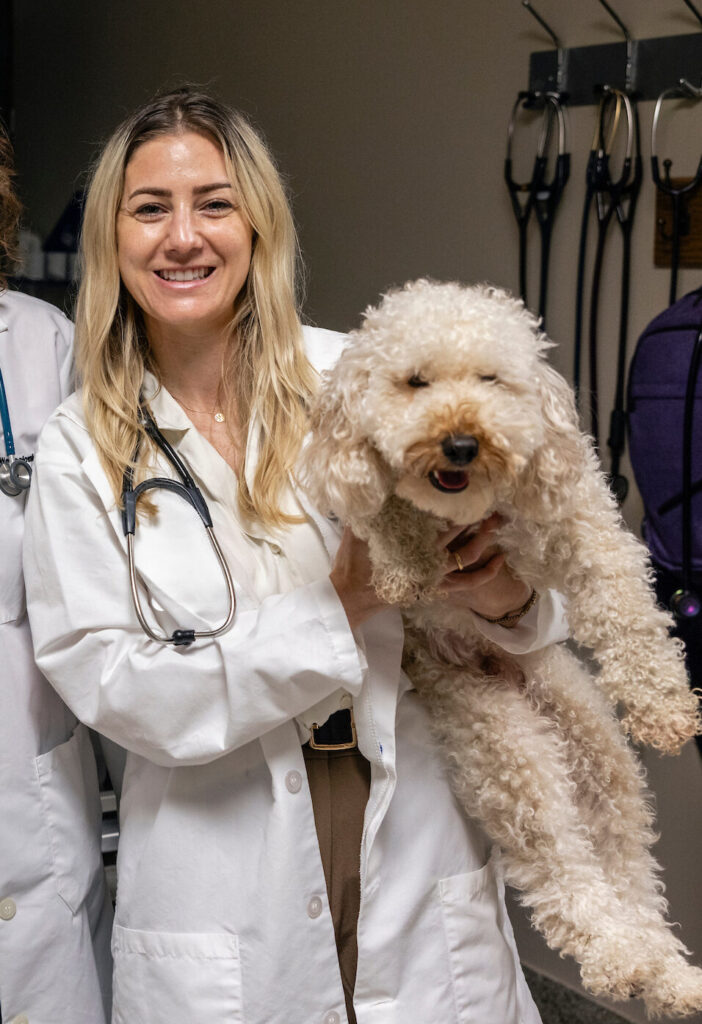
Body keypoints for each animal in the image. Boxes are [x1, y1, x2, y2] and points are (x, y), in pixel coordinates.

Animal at [300, 278, 702, 1015]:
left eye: (491, 380)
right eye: (416, 382)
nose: (461, 443)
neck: (463, 512)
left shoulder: (579, 524)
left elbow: (623, 605)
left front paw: (661, 704)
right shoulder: (351, 477)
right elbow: (383, 507)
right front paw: (403, 562)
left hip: (591, 740)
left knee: (627, 860)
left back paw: (666, 975)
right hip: (500, 739)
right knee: (556, 859)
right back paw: (615, 955)